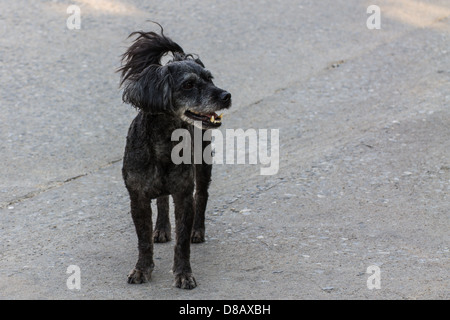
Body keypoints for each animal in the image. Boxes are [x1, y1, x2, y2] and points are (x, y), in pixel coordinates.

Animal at [118, 26, 232, 288]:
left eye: (209, 78)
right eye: (189, 84)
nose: (226, 95)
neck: (163, 141)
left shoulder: (183, 195)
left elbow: (182, 241)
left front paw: (183, 273)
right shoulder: (137, 198)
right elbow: (143, 240)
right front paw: (142, 269)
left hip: (203, 163)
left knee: (202, 195)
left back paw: (198, 231)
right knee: (161, 199)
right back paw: (161, 229)